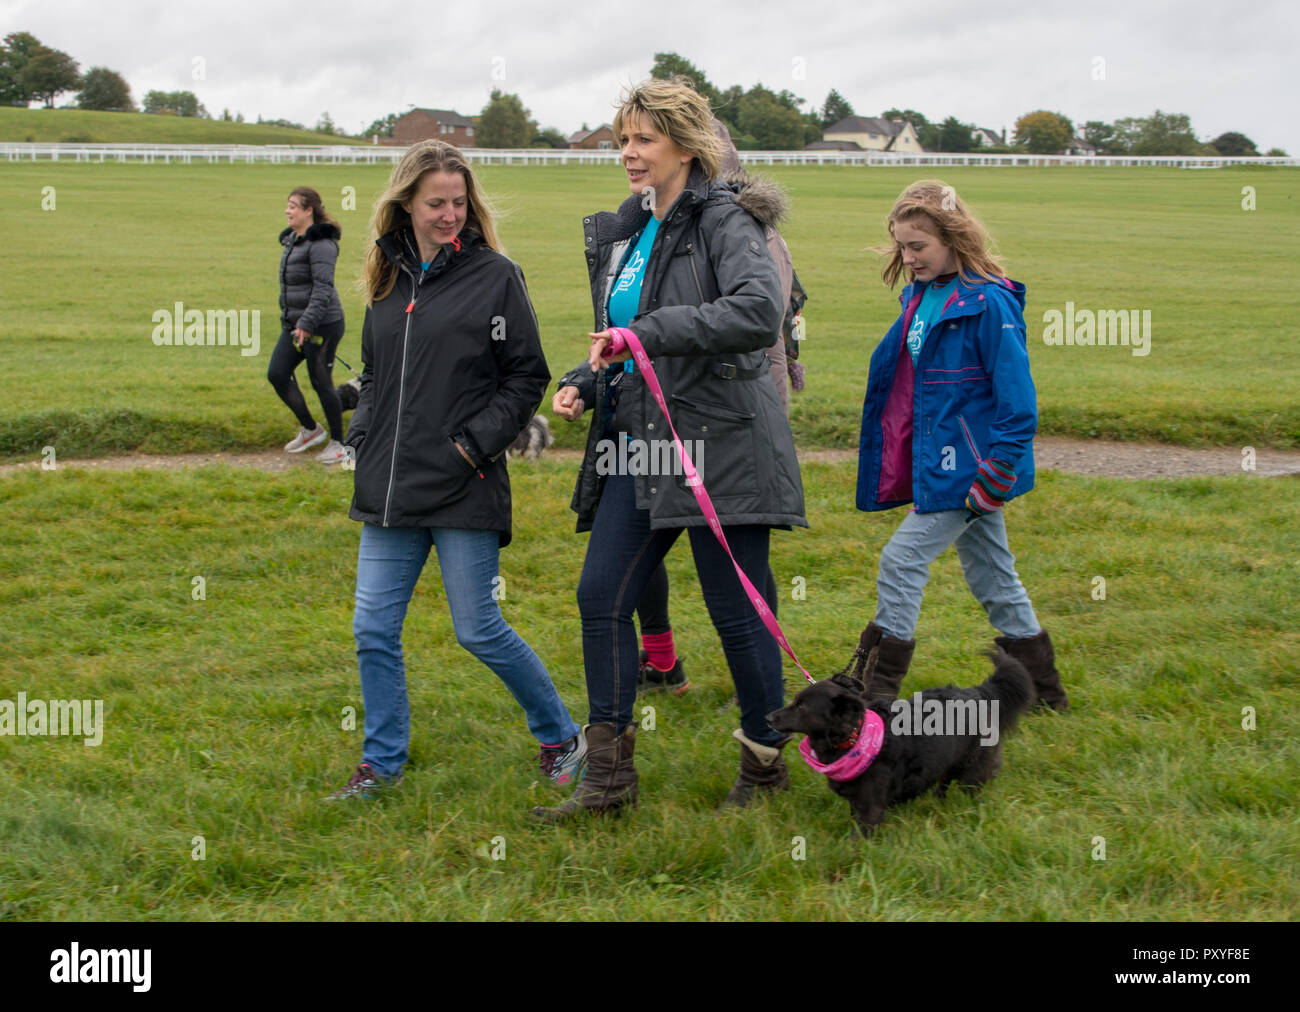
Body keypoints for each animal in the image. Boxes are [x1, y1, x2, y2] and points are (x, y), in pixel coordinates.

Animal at [764, 650, 1029, 832]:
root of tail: (978, 693)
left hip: (973, 770)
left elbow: (859, 838)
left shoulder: (871, 807)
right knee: (944, 782)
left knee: (972, 789)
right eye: (794, 701)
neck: (855, 738)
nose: (768, 717)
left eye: (802, 707)